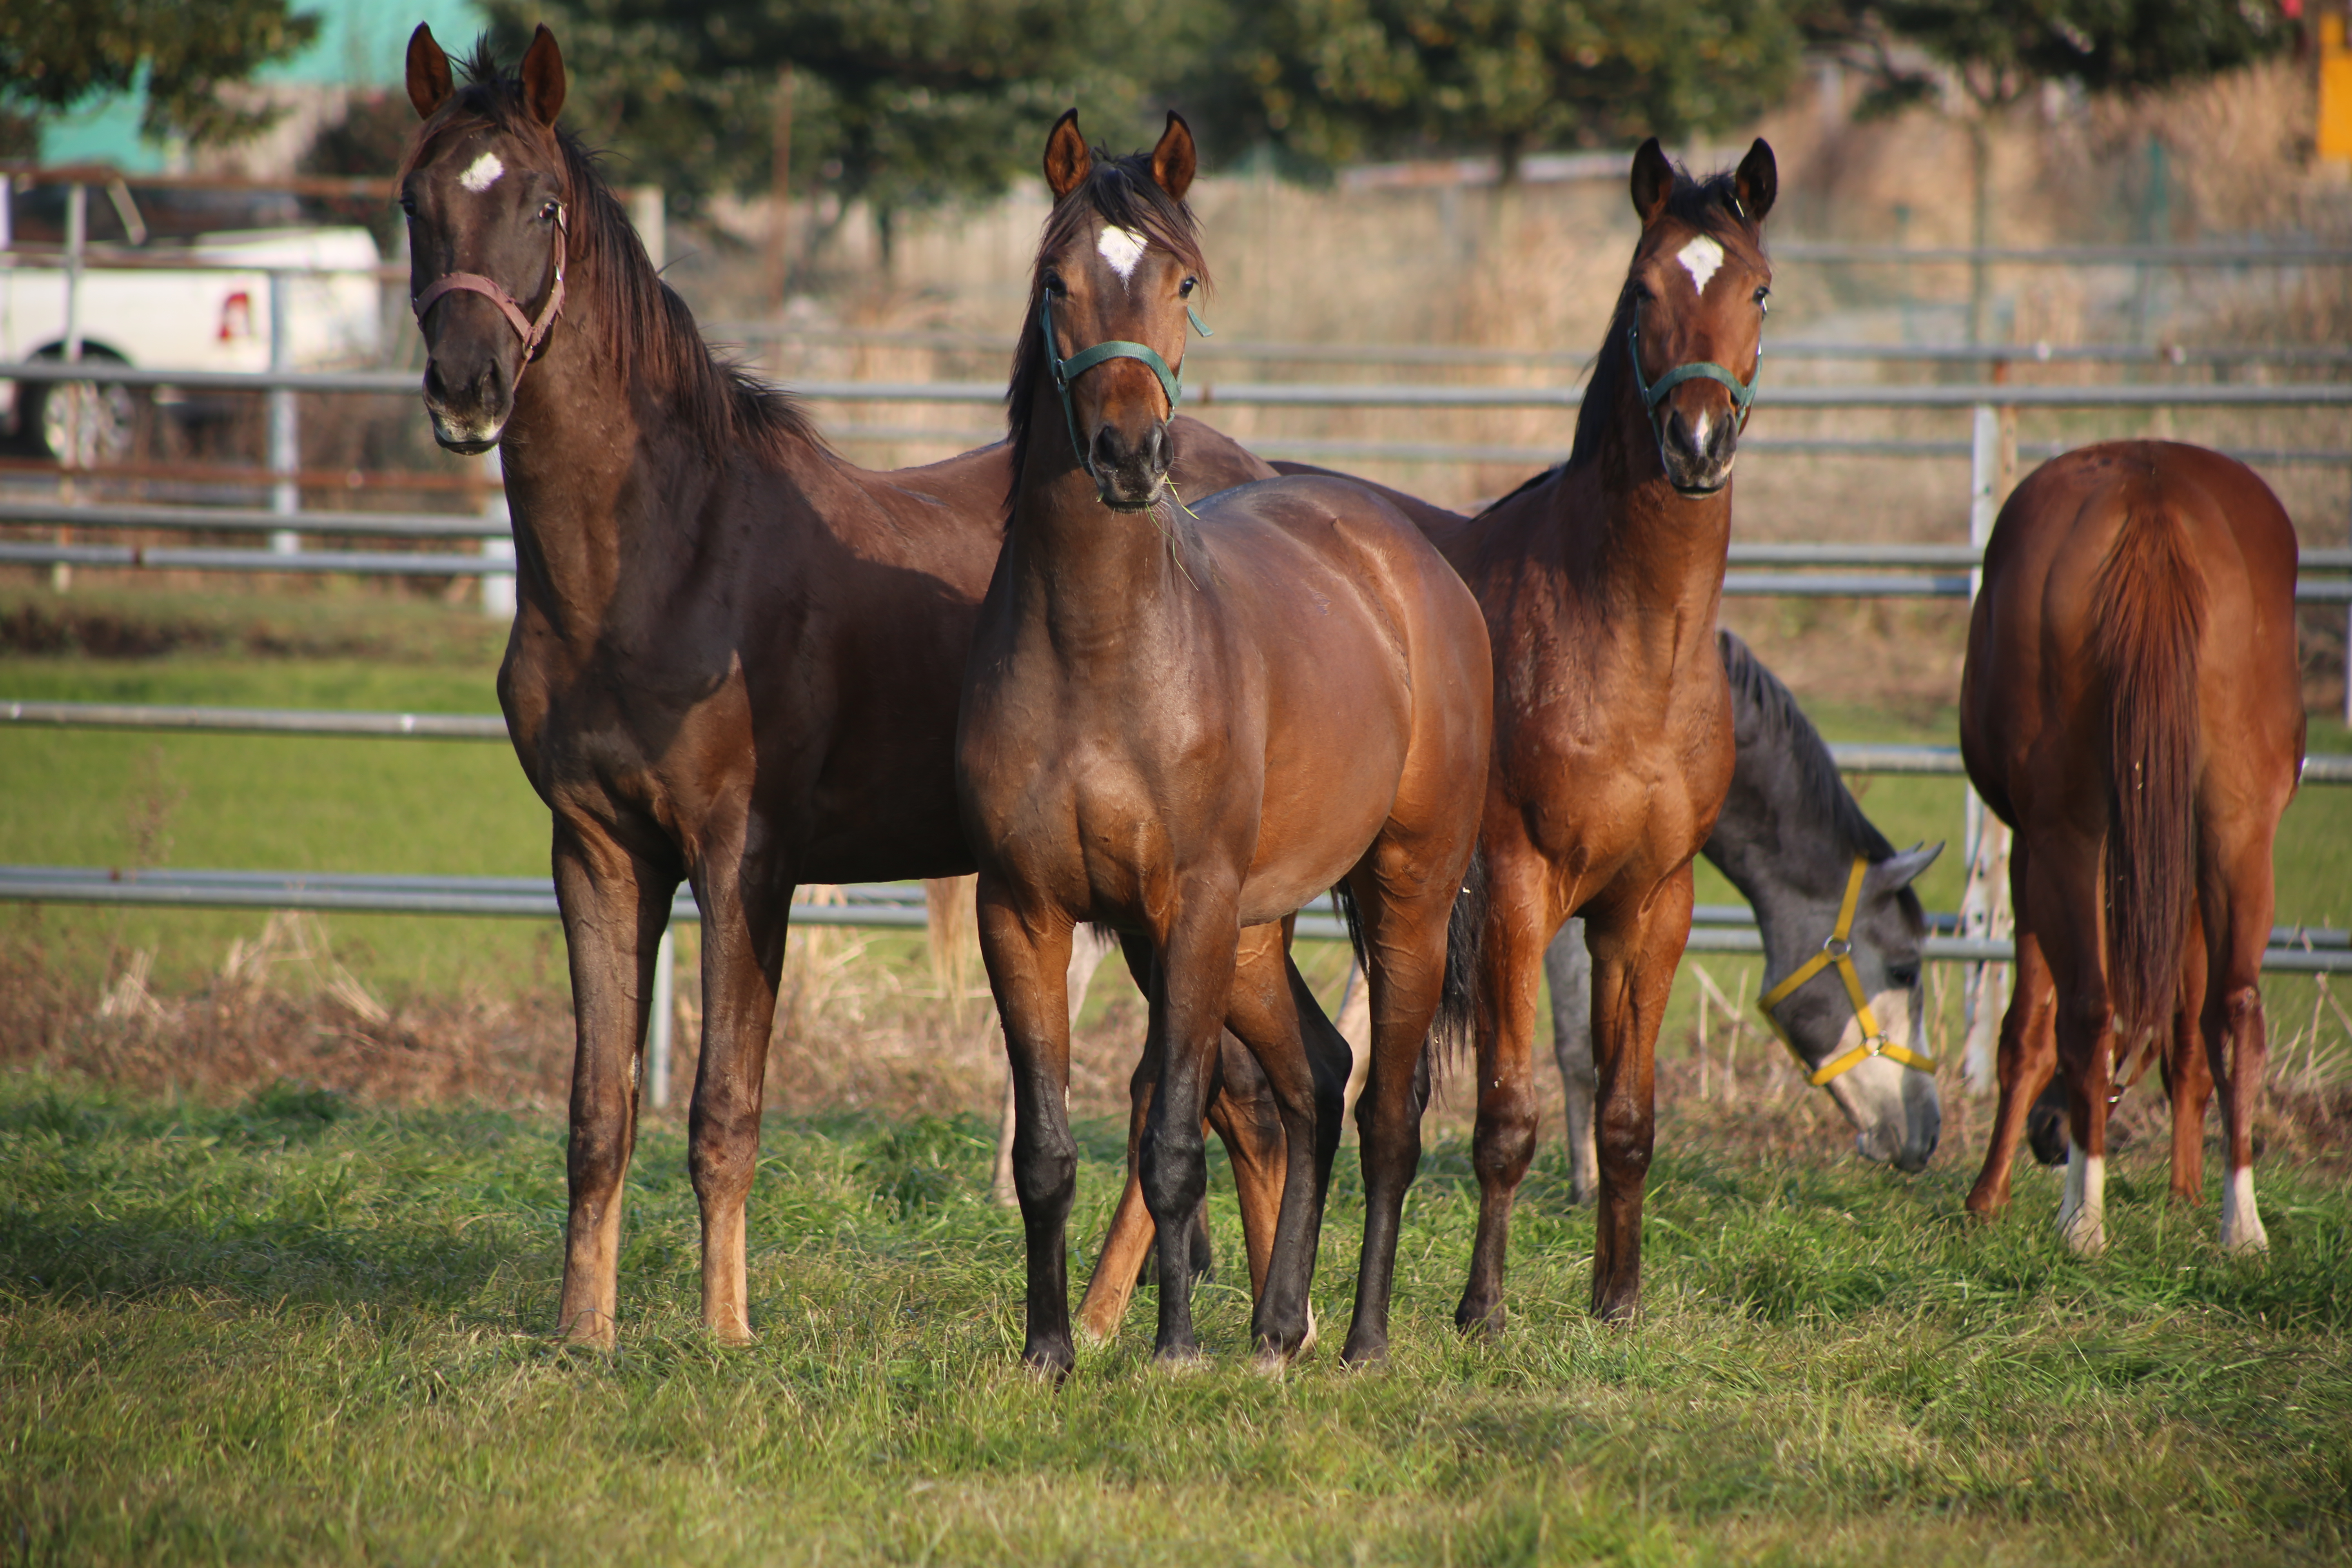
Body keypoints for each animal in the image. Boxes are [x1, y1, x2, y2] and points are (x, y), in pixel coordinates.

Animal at [960, 113, 1486, 1373]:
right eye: (1055, 282)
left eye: (1182, 282)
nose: (1125, 454)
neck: (1101, 654)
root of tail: (1409, 557)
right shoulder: (1024, 911)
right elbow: (1045, 1154)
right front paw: (1049, 1352)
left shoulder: (1185, 910)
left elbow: (1170, 1141)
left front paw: (1172, 1350)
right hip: (1254, 935)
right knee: (1316, 1078)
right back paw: (1277, 1325)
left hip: (1403, 896)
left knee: (1387, 1112)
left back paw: (1359, 1340)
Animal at [1957, 446, 2305, 1260]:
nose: (2050, 1135)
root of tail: (2154, 495)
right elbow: (2187, 1032)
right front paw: (2186, 1193)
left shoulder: (2027, 852)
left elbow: (2028, 1028)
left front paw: (1987, 1198)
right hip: (2239, 832)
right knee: (2234, 1011)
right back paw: (2241, 1228)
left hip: (2064, 837)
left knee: (2088, 1007)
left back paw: (2083, 1221)